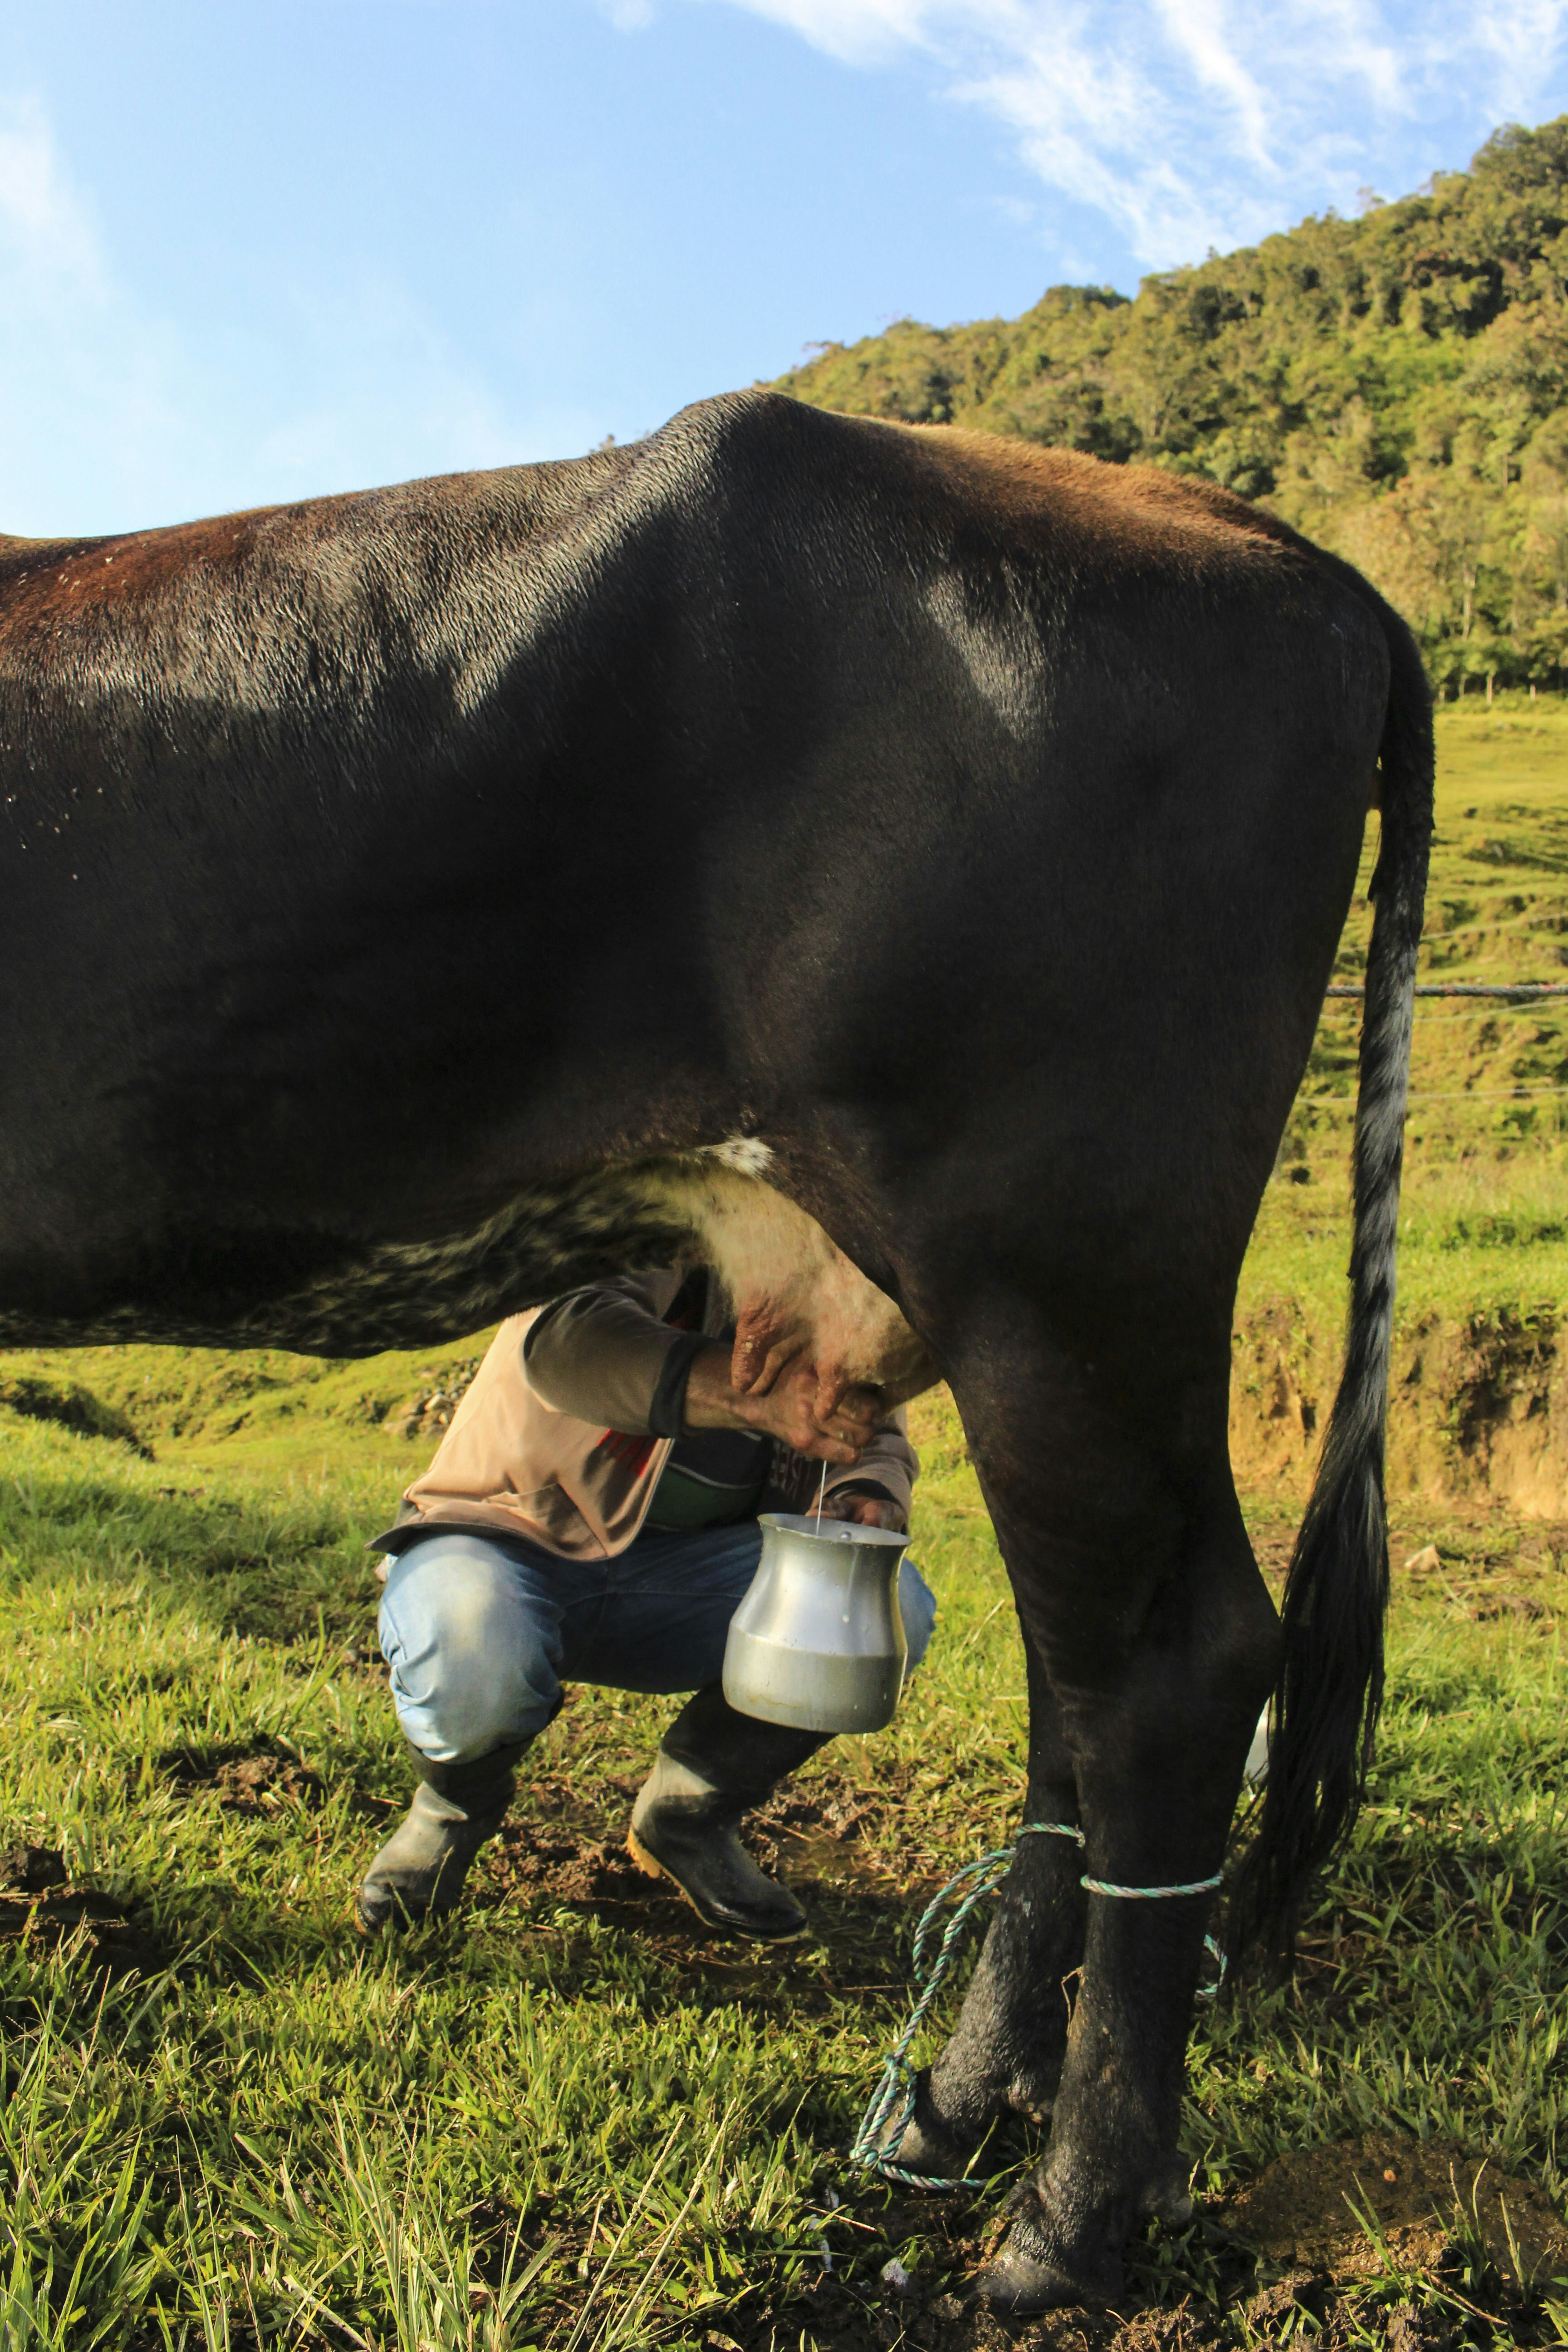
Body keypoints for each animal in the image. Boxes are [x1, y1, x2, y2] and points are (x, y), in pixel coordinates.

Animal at [0, 389, 1430, 2312]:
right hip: (1047, 1310)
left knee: (1165, 1676)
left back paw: (1066, 2218)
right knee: (1076, 1688)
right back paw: (949, 2115)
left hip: (1058, 1263)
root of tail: (1266, 542)